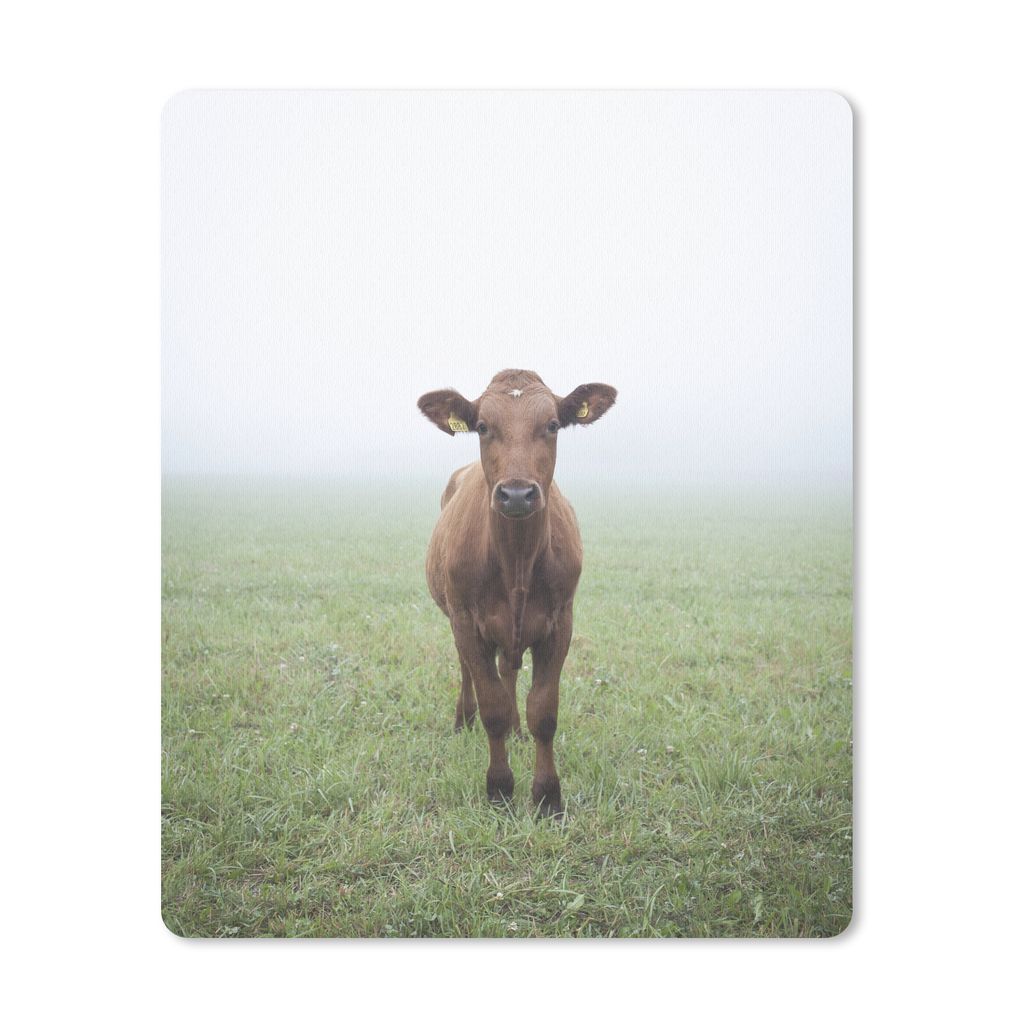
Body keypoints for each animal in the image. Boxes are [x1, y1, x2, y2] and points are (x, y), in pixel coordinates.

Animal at [417, 369, 617, 816]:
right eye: (482, 427)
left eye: (553, 425)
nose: (517, 494)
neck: (517, 562)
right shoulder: (466, 621)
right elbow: (491, 706)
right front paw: (499, 788)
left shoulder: (560, 622)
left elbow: (543, 711)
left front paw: (547, 795)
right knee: (469, 672)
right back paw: (464, 721)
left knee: (508, 672)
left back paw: (517, 731)